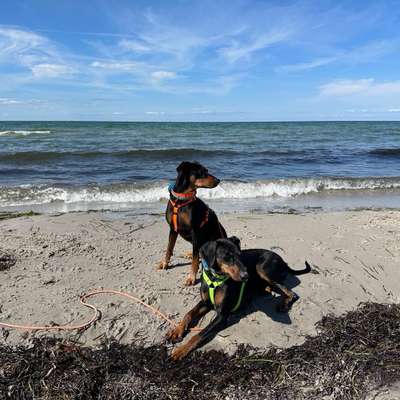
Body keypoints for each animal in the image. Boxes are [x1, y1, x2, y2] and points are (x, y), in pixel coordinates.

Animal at [167, 236, 310, 360]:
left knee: (292, 293)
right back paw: (265, 289)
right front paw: (176, 331)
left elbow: (199, 334)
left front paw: (181, 349)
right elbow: (188, 314)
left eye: (240, 255)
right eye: (227, 257)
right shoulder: (205, 302)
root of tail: (283, 261)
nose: (246, 276)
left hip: (262, 267)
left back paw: (283, 304)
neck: (215, 277)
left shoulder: (222, 315)